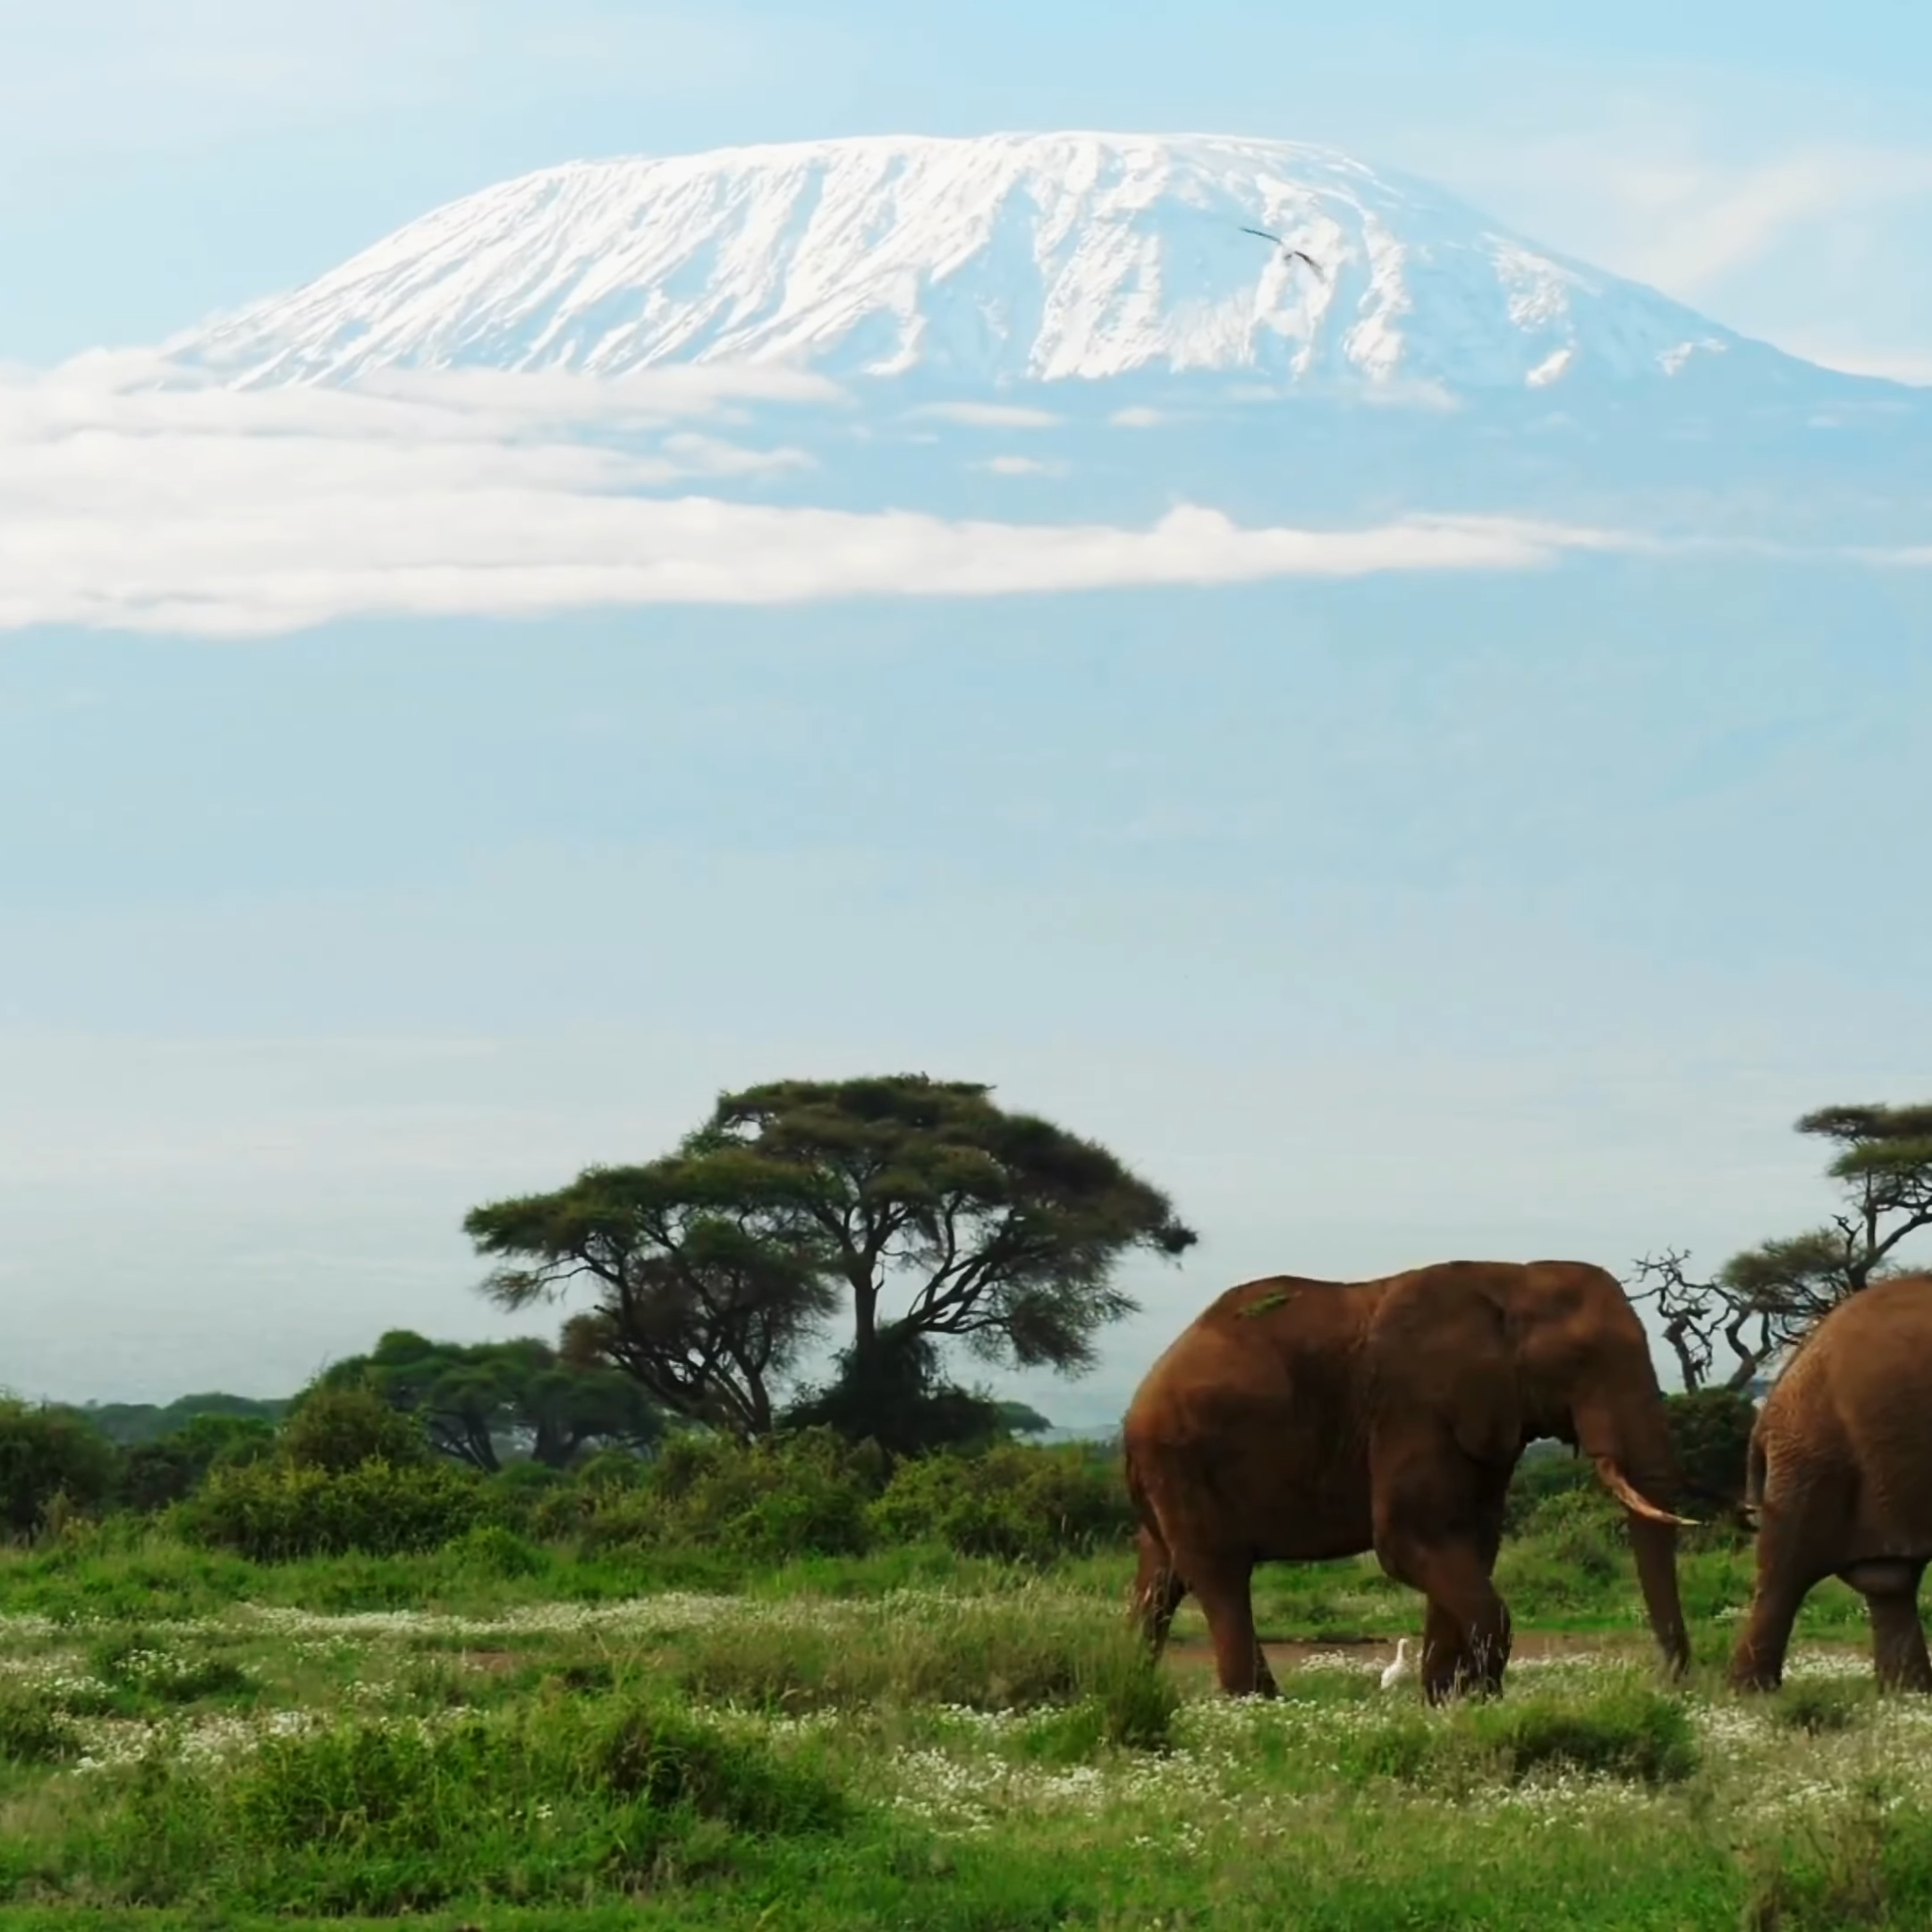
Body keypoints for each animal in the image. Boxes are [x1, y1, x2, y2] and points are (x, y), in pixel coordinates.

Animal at [1120, 1251, 1692, 1692]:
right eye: (1582, 1359)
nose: (1665, 1682)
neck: (1513, 1278)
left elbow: (1470, 1544)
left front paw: (1448, 1699)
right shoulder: (1415, 1406)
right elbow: (1408, 1540)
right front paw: (1478, 1694)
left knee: (1161, 1578)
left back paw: (1122, 1679)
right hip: (1183, 1459)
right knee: (1219, 1575)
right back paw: (1260, 1703)